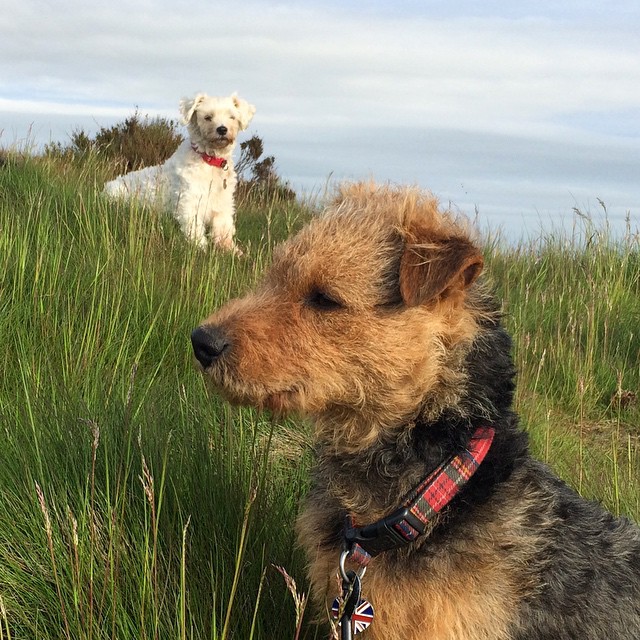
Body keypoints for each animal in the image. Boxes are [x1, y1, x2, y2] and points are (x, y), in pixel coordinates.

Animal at [104, 92, 255, 252]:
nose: (222, 129)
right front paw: (201, 248)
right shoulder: (188, 203)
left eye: (232, 117)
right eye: (207, 117)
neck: (210, 161)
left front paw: (232, 250)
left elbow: (224, 230)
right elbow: (194, 230)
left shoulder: (223, 206)